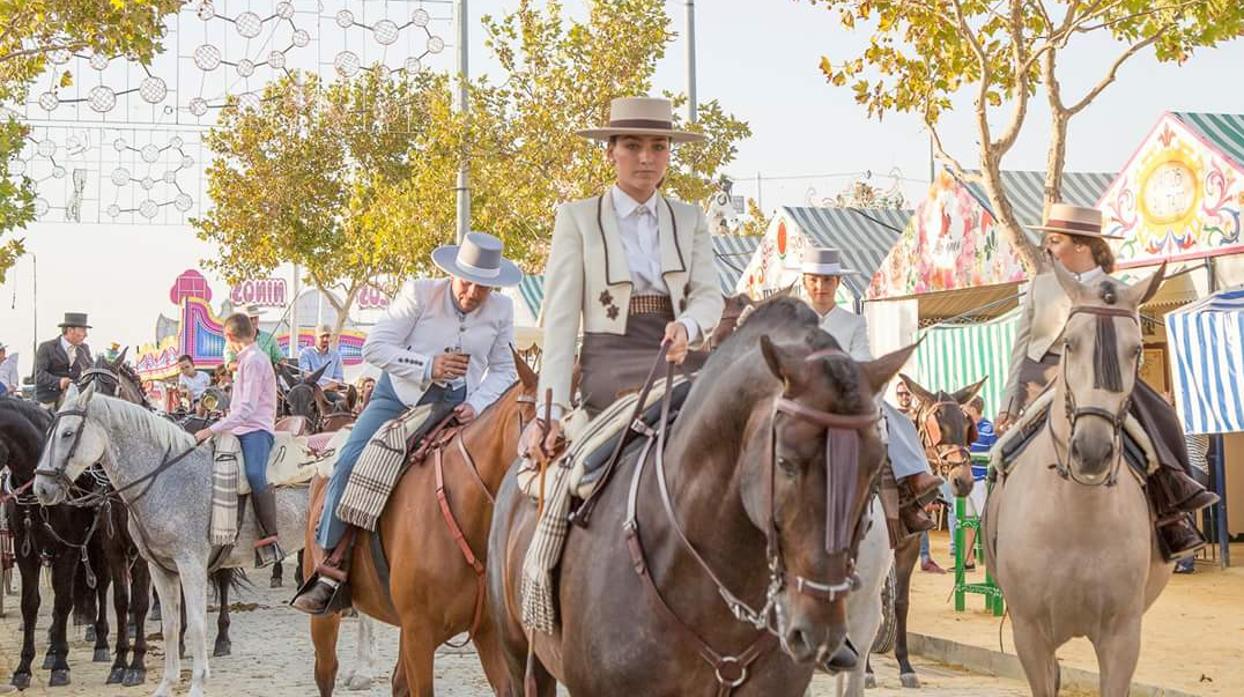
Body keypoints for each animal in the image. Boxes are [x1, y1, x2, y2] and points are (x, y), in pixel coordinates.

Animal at [32, 388, 373, 692]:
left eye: (68, 433)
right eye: (49, 431)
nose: (41, 489)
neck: (168, 478)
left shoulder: (190, 564)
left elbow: (196, 624)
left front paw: (197, 684)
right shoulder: (160, 568)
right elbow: (170, 626)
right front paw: (167, 684)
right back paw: (361, 673)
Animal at [865, 373, 980, 687]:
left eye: (966, 424)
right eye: (936, 425)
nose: (964, 480)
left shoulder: (910, 544)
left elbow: (901, 602)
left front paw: (905, 666)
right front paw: (865, 670)